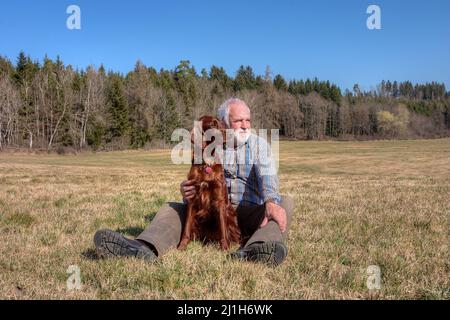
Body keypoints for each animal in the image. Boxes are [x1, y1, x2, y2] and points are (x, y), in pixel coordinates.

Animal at [177, 115, 241, 250]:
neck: (206, 164)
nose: (230, 134)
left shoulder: (219, 200)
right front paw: (182, 246)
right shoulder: (193, 199)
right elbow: (186, 228)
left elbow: (223, 229)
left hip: (230, 214)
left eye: (221, 123)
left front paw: (225, 248)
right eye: (212, 125)